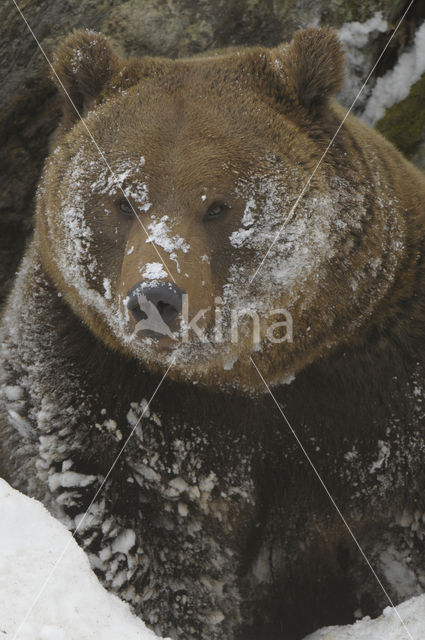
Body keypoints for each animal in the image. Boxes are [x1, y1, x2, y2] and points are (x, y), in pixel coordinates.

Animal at [0, 25, 424, 640]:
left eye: (218, 204)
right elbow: (145, 538)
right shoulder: (93, 382)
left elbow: (397, 520)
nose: (155, 296)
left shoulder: (378, 382)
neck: (242, 375)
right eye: (122, 200)